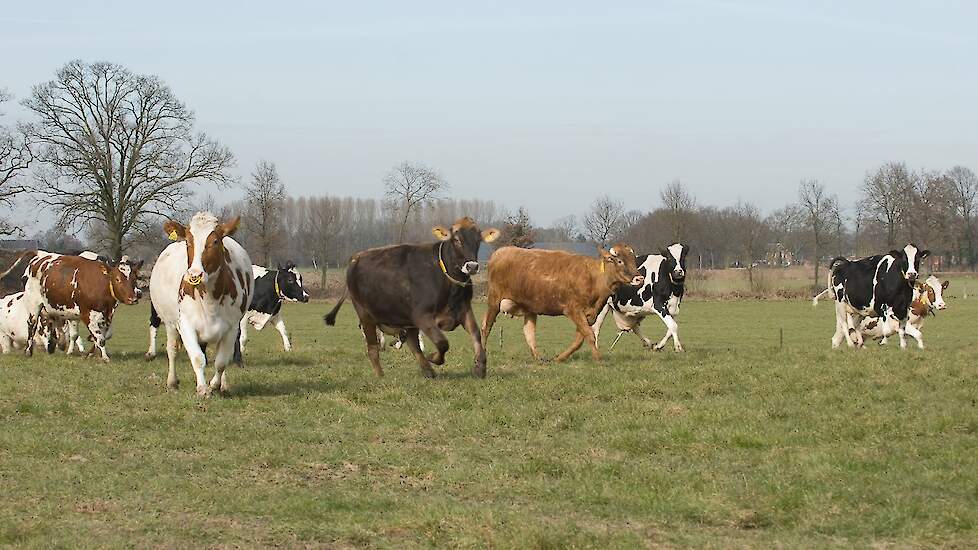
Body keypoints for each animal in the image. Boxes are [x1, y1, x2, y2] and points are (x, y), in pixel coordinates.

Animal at [0, 251, 143, 362]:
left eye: (135, 278)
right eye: (117, 279)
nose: (134, 298)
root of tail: (39, 254)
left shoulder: (105, 316)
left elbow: (102, 335)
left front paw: (88, 353)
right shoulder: (87, 314)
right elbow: (100, 338)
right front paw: (105, 357)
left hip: (52, 307)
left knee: (53, 324)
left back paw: (57, 345)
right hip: (34, 304)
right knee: (32, 324)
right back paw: (28, 351)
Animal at [147, 211, 252, 396]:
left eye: (215, 241)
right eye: (188, 241)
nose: (195, 274)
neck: (210, 299)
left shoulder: (231, 328)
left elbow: (221, 362)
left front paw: (215, 385)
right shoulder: (186, 325)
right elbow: (197, 358)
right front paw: (203, 389)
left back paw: (223, 385)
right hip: (170, 323)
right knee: (172, 350)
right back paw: (172, 382)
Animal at [324, 219, 500, 380]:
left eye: (478, 240)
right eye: (456, 239)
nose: (472, 266)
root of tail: (356, 257)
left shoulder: (463, 309)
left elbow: (476, 335)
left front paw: (480, 367)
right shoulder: (422, 316)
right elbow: (442, 342)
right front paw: (434, 357)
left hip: (404, 318)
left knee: (412, 343)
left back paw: (428, 371)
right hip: (366, 315)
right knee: (373, 348)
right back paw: (381, 376)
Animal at [478, 244, 640, 364]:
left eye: (634, 260)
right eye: (620, 261)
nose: (640, 278)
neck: (594, 278)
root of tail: (501, 251)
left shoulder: (589, 314)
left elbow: (579, 339)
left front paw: (559, 358)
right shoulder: (573, 310)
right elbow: (589, 335)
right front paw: (598, 359)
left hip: (529, 308)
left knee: (529, 333)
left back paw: (539, 359)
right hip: (494, 300)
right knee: (486, 327)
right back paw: (482, 354)